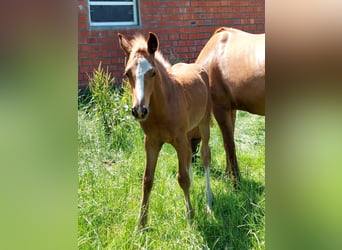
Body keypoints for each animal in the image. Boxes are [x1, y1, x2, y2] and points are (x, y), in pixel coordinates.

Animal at [119, 32, 212, 228]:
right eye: (127, 73)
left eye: (153, 72)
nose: (139, 110)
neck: (163, 108)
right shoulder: (151, 142)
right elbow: (147, 180)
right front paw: (141, 224)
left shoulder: (179, 140)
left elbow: (182, 178)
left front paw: (190, 218)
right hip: (188, 133)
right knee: (189, 157)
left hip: (204, 123)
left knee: (205, 156)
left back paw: (209, 202)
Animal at [195, 28, 264, 187]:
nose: (194, 164)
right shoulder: (231, 109)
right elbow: (228, 142)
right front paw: (228, 175)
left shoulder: (220, 108)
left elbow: (229, 144)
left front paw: (236, 183)